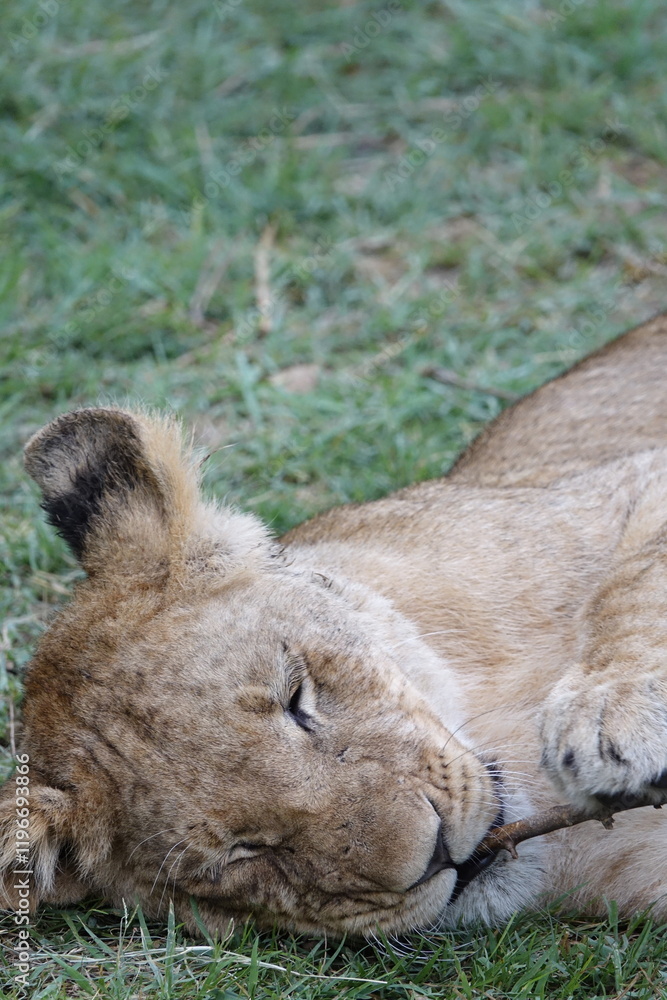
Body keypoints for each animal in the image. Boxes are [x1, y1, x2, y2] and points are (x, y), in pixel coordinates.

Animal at [1, 313, 667, 938]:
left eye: (298, 698)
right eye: (244, 853)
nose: (436, 853)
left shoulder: (628, 482)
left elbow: (639, 575)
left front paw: (613, 716)